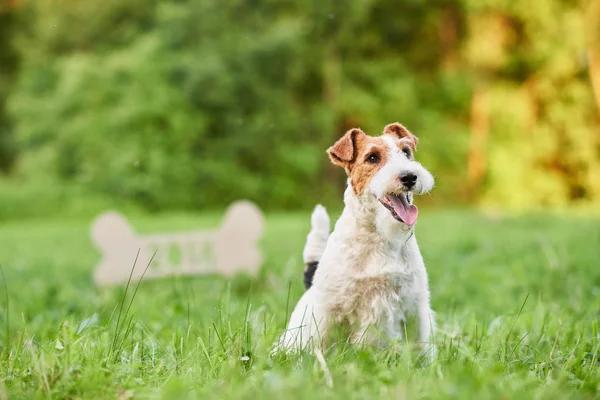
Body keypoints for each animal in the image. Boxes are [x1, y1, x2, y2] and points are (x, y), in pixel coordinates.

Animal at [276, 122, 436, 360]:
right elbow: (320, 345)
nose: (409, 177)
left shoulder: (415, 307)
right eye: (372, 158)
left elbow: (419, 349)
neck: (379, 235)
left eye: (406, 152)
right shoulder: (327, 311)